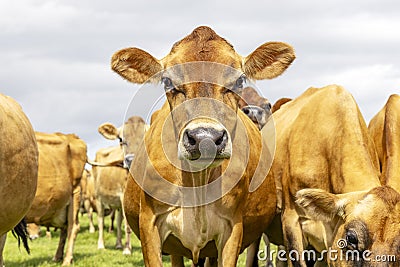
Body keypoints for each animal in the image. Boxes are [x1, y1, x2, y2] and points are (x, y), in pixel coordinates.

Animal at [25, 133, 87, 266]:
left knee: (73, 227)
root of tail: (71, 136)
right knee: (65, 227)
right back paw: (57, 257)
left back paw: (67, 260)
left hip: (75, 193)